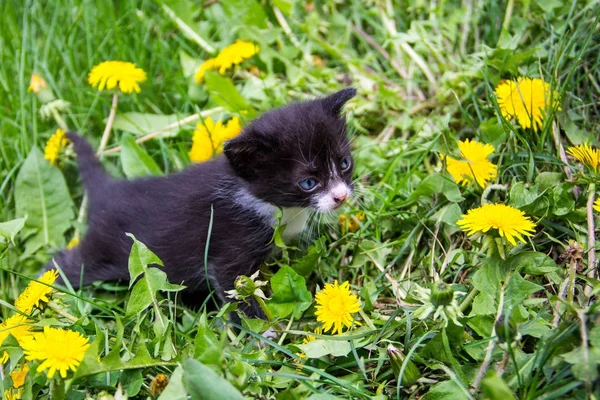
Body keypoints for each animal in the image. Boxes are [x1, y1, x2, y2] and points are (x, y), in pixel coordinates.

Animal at [49, 87, 356, 316]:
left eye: (344, 163)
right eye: (308, 183)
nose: (341, 196)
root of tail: (108, 190)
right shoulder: (229, 247)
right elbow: (236, 291)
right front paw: (261, 333)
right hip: (103, 250)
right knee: (70, 263)